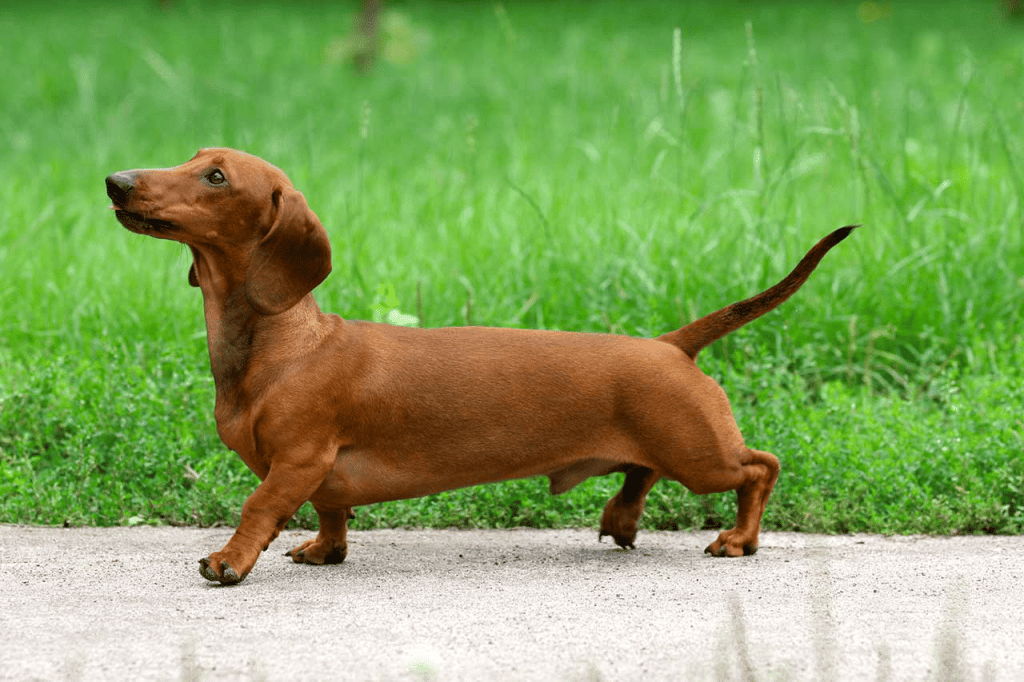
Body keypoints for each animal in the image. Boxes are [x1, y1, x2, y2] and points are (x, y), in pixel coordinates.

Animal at [105, 150, 856, 585]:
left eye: (215, 176)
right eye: (192, 158)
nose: (115, 180)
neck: (283, 343)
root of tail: (671, 344)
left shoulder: (298, 457)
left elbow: (259, 507)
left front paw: (229, 561)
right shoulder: (320, 473)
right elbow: (332, 512)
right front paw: (324, 550)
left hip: (699, 453)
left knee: (760, 467)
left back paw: (739, 539)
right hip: (673, 446)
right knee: (643, 473)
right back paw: (621, 518)